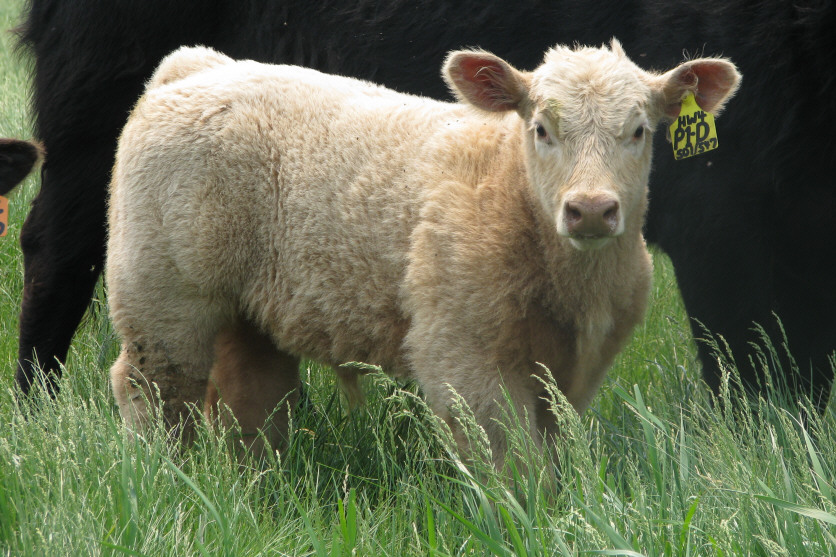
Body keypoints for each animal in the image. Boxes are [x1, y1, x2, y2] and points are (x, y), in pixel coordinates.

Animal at [15, 0, 836, 411]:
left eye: (643, 130)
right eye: (539, 128)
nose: (593, 210)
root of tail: (190, 69)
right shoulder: (725, 225)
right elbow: (746, 369)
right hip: (96, 128)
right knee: (63, 261)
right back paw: (39, 410)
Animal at [106, 43, 739, 460]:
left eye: (639, 131)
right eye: (540, 128)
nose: (589, 209)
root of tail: (200, 68)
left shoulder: (574, 373)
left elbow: (551, 456)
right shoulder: (463, 355)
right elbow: (512, 464)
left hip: (250, 308)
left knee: (251, 395)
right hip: (160, 293)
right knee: (153, 388)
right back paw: (167, 474)